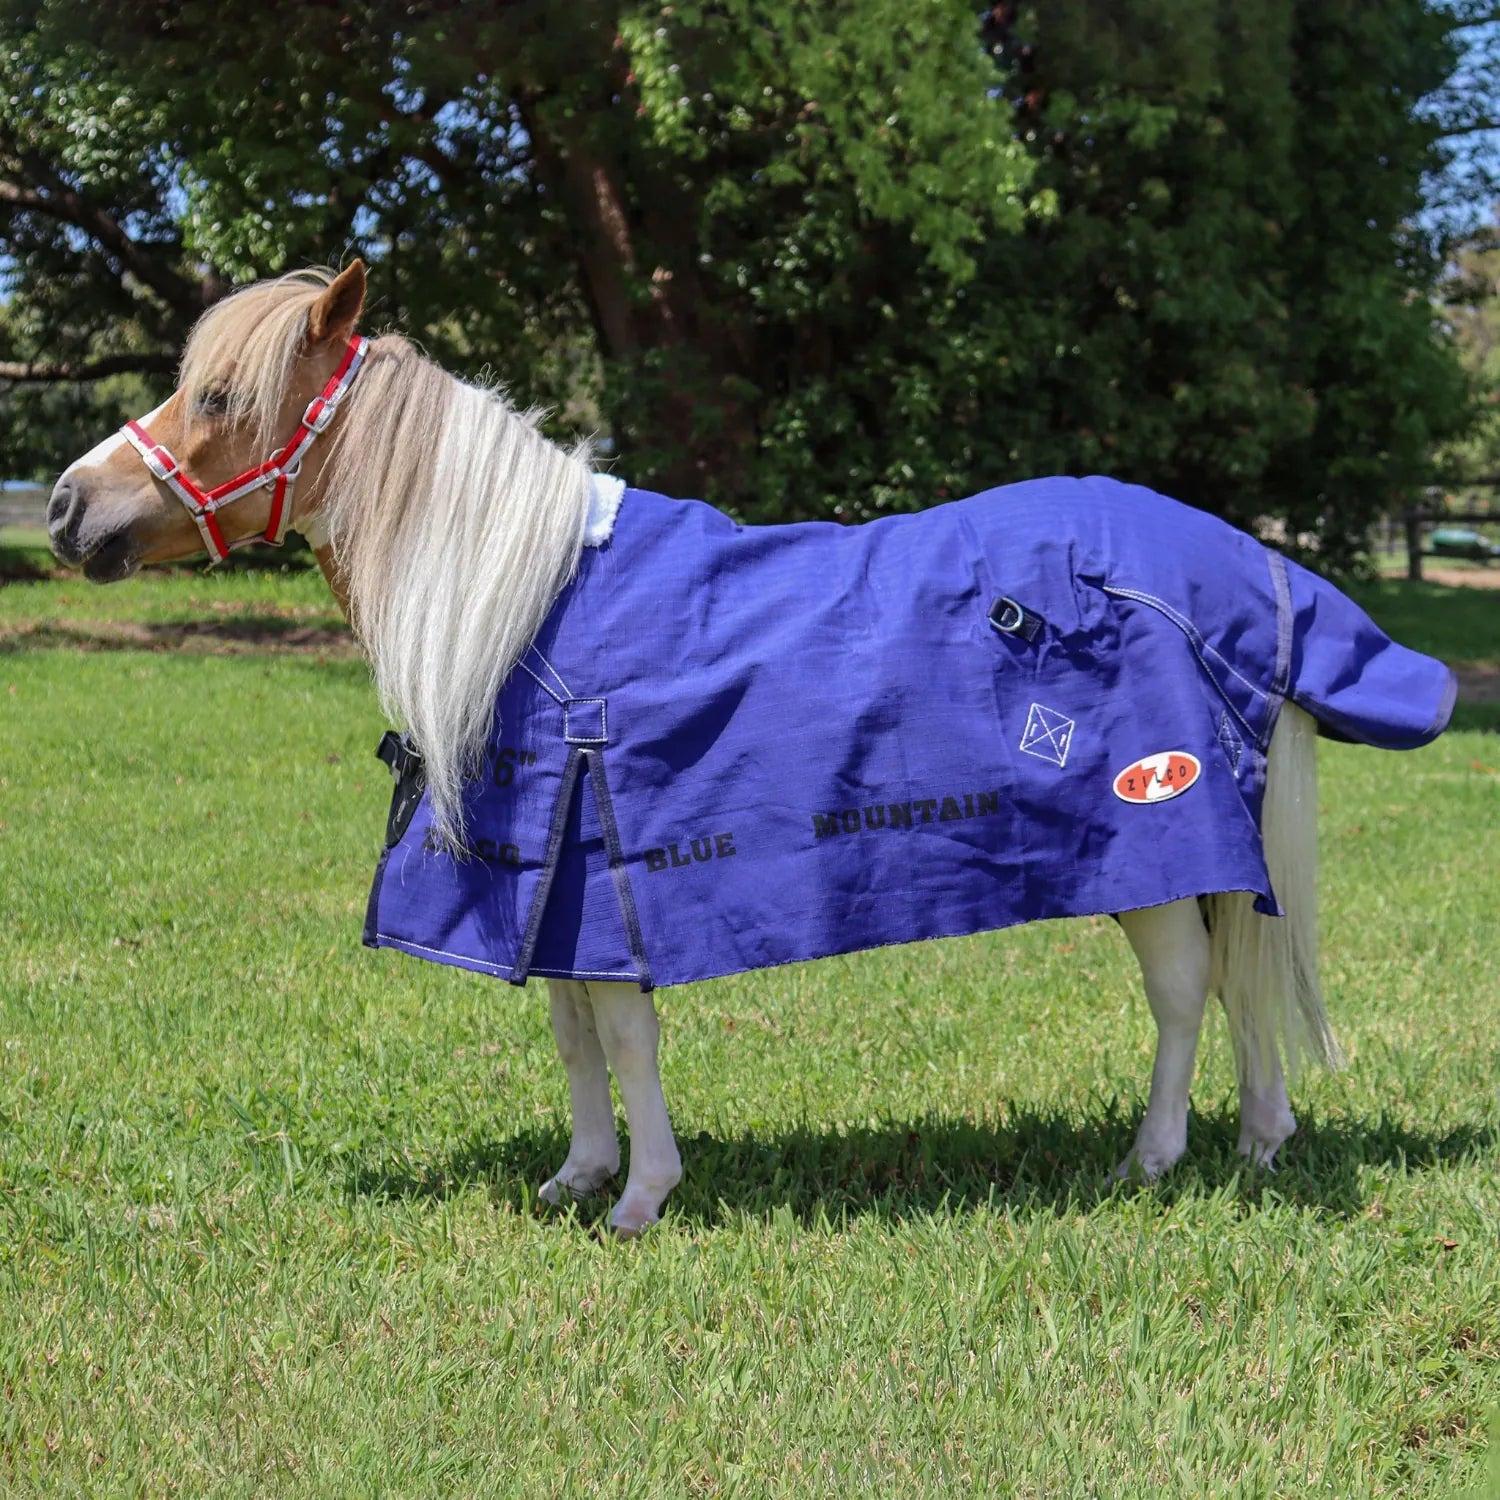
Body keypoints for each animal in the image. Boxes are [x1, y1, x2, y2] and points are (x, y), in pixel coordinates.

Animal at [49, 262, 1455, 1236]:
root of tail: (1246, 566)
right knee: (1241, 982)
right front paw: (578, 1177)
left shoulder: (605, 872)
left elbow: (622, 1041)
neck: (532, 601)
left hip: (1153, 846)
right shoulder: (550, 881)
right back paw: (1259, 1141)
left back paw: (1153, 1160)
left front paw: (642, 1197)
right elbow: (571, 1035)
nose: (67, 507)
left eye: (223, 396)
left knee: (1183, 994)